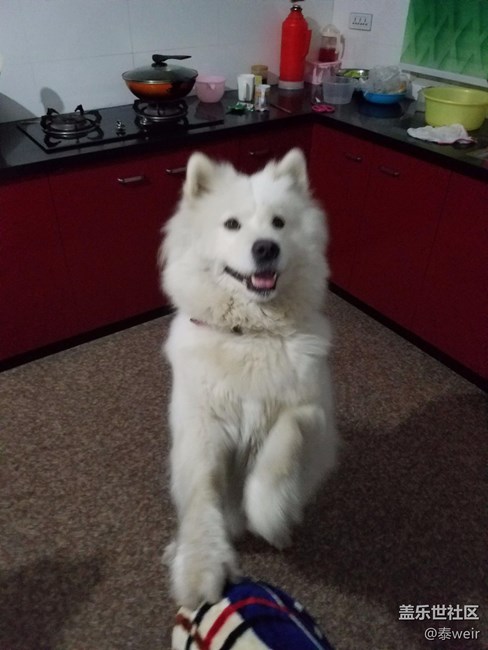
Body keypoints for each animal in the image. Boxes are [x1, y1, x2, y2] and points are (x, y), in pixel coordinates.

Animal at [159, 148, 338, 609]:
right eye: (232, 224)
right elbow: (202, 493)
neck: (250, 334)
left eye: (279, 223)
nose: (265, 248)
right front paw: (200, 566)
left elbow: (280, 447)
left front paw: (270, 514)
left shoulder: (315, 415)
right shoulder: (202, 428)